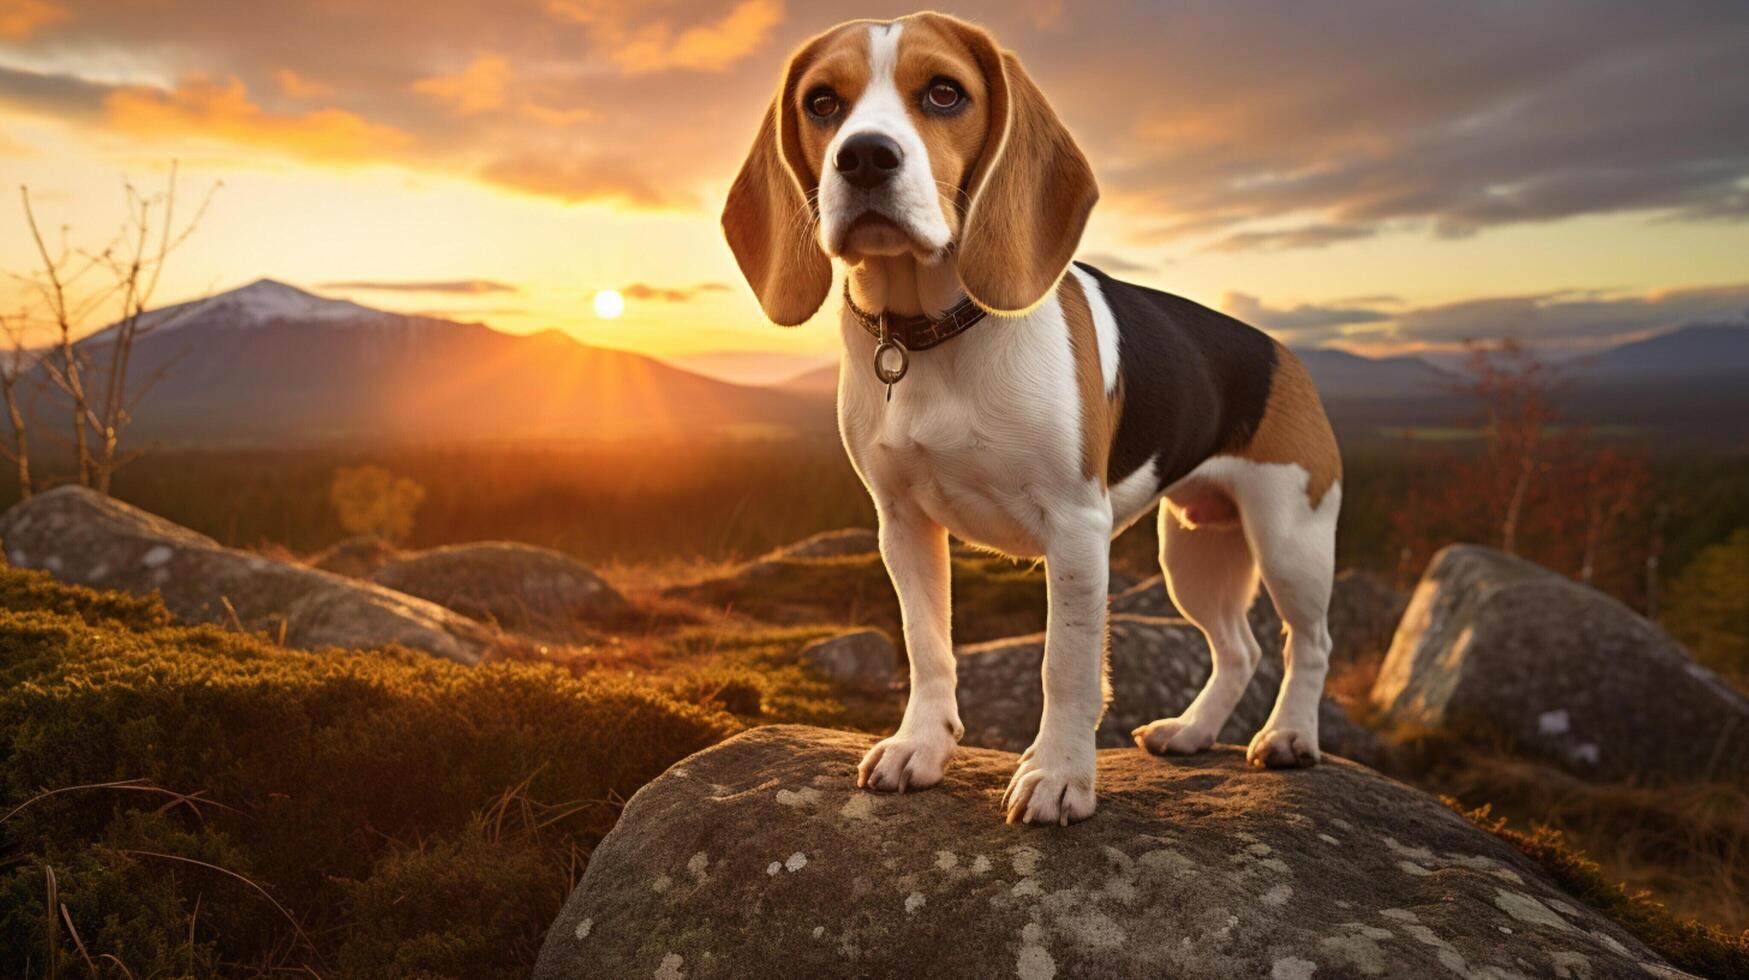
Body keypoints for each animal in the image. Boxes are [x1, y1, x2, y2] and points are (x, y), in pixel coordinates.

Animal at [720, 13, 1336, 826]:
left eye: (944, 92)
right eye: (822, 103)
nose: (864, 157)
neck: (932, 332)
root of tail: (1284, 353)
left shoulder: (1075, 527)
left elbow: (1065, 666)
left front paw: (1058, 775)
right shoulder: (901, 522)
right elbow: (927, 645)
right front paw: (920, 746)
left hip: (1290, 537)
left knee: (1308, 642)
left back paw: (1291, 735)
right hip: (1195, 549)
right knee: (1240, 649)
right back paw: (1192, 731)